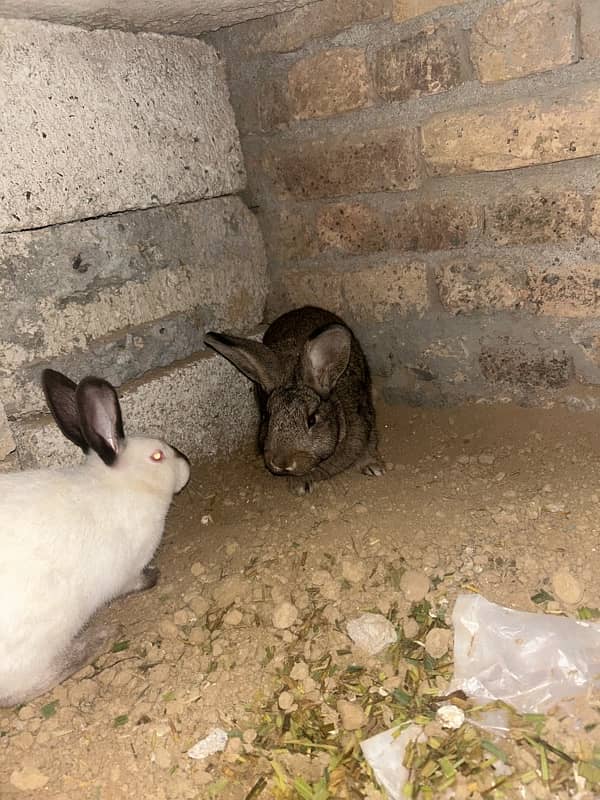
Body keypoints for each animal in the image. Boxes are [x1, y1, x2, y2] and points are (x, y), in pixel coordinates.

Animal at [0, 368, 190, 708]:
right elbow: (134, 581)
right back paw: (99, 638)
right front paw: (152, 577)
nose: (188, 465)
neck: (126, 486)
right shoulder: (126, 572)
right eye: (158, 456)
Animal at [205, 306, 384, 494]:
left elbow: (369, 443)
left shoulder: (363, 416)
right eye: (266, 417)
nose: (282, 463)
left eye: (311, 420)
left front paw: (373, 467)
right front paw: (300, 485)